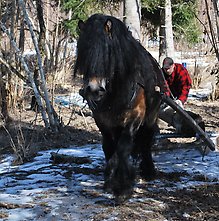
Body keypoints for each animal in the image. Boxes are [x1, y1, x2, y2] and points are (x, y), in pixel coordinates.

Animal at [74, 14, 165, 204]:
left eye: (107, 53)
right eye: (84, 52)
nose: (94, 90)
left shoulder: (136, 117)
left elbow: (123, 147)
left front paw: (122, 188)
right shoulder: (102, 120)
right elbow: (109, 146)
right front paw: (110, 180)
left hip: (150, 117)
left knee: (145, 140)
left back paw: (148, 170)